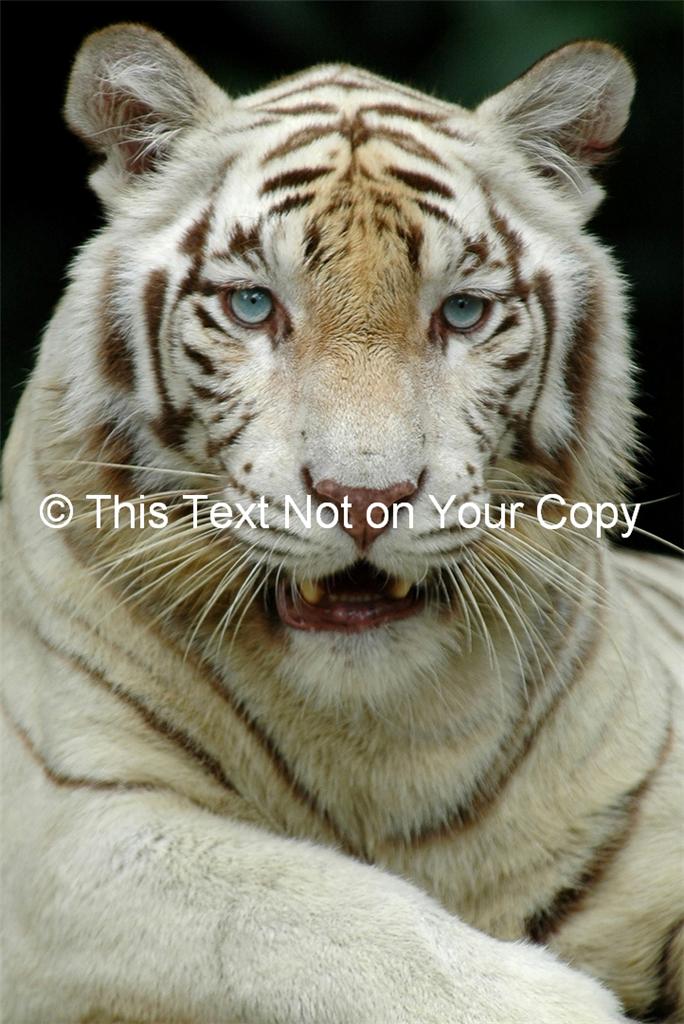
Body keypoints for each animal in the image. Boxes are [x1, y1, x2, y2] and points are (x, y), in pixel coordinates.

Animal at [1, 21, 682, 1024]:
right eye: (253, 305)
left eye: (462, 312)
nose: (366, 497)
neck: (379, 736)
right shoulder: (68, 828)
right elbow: (297, 910)